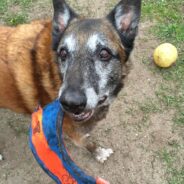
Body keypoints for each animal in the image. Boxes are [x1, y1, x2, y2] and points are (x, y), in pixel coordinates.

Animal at [0, 0, 141, 162]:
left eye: (104, 54)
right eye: (63, 53)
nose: (70, 103)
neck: (54, 73)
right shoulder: (75, 134)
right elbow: (88, 143)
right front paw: (98, 152)